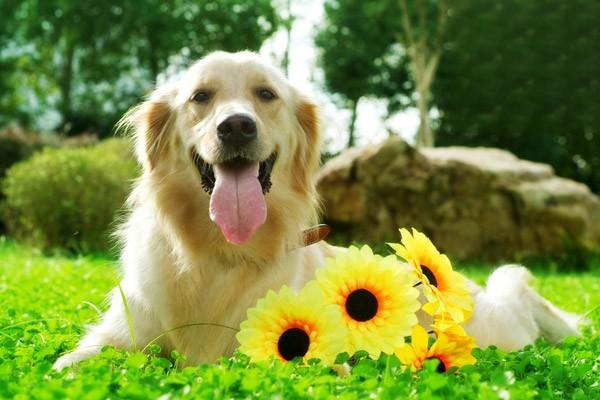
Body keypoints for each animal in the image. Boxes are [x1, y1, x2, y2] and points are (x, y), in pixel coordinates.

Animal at [52, 51, 580, 370]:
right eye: (200, 96)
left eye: (266, 94)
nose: (237, 127)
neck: (220, 254)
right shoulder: (118, 336)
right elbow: (66, 364)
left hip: (494, 332)